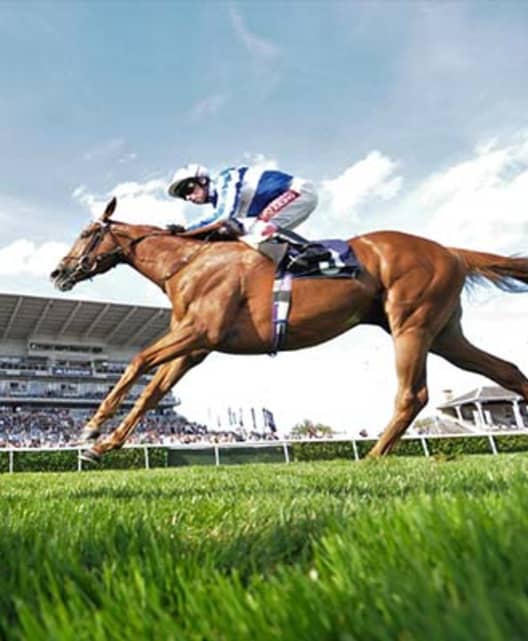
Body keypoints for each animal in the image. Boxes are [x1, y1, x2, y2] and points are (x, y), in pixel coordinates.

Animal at [49, 199, 528, 460]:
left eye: (86, 232)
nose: (58, 272)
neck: (189, 264)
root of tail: (451, 250)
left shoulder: (201, 331)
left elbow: (136, 362)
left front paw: (90, 430)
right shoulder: (194, 348)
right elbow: (151, 392)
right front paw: (103, 445)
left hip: (411, 323)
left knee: (413, 394)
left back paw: (371, 457)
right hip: (445, 333)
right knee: (507, 371)